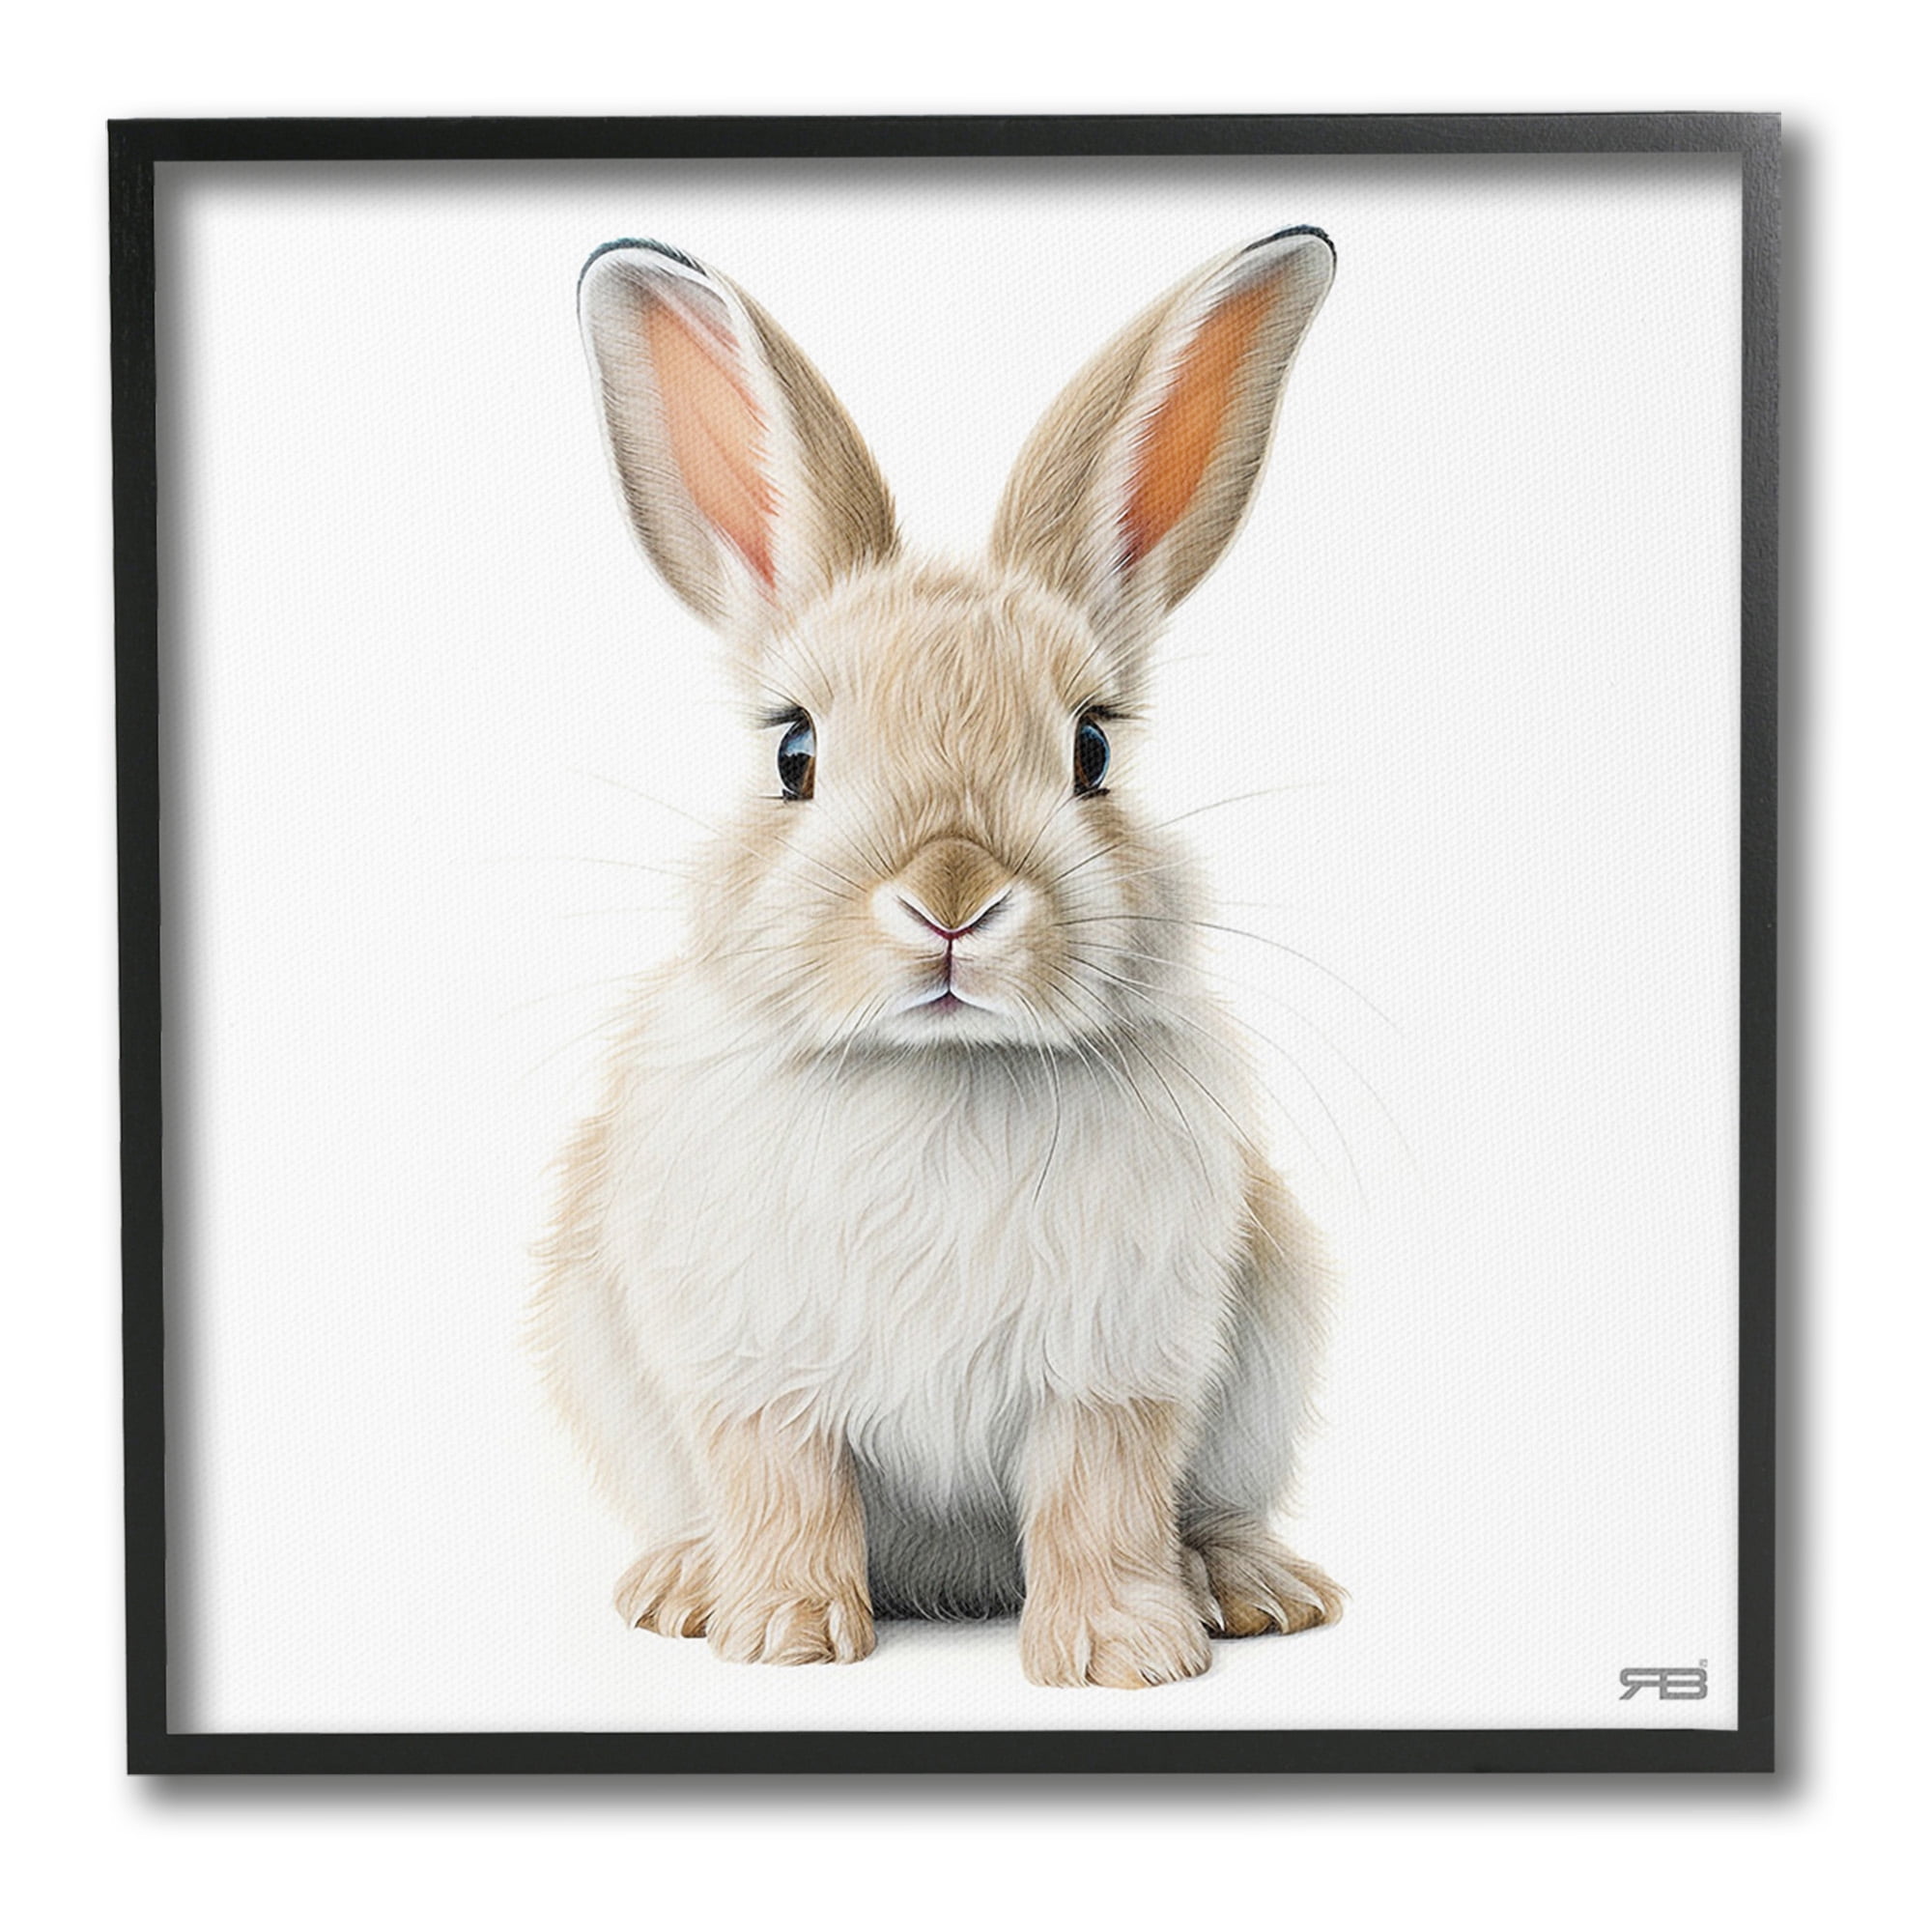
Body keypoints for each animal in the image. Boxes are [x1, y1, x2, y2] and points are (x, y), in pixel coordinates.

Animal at [530, 226, 1343, 1688]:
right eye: (794, 752)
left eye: (1092, 748)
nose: (951, 897)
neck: (941, 1068)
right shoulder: (754, 1368)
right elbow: (783, 1486)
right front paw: (783, 1637)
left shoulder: (1116, 1367)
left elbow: (1099, 1497)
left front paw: (1123, 1656)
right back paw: (683, 1584)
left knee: (1207, 1507)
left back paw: (1248, 1588)